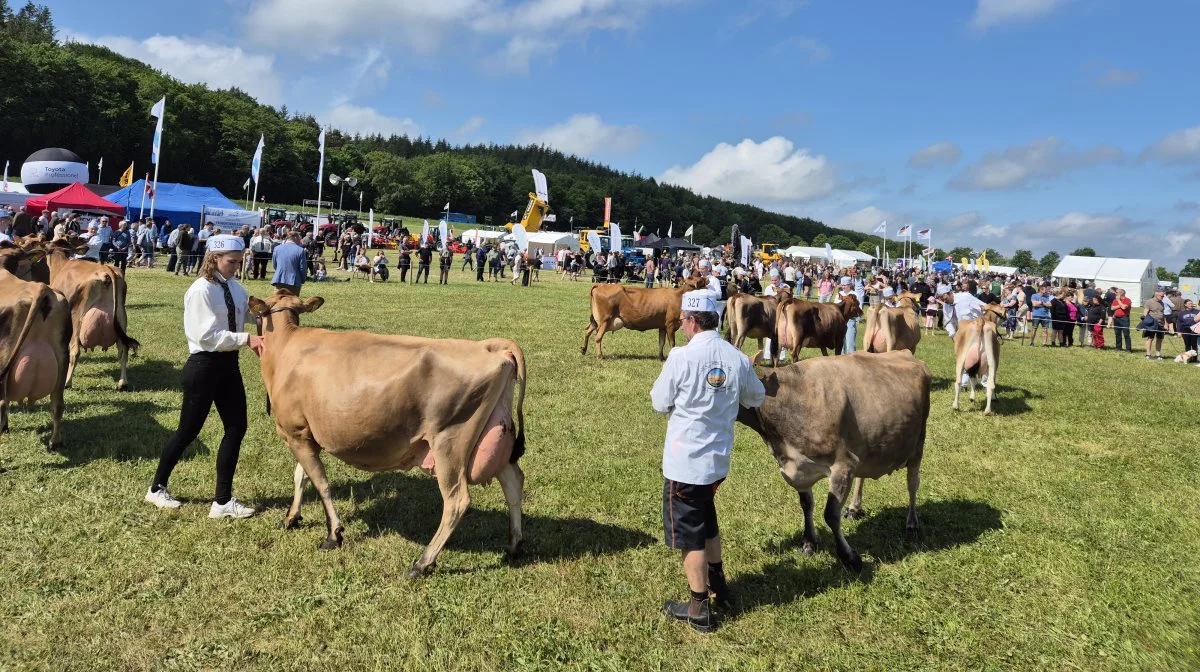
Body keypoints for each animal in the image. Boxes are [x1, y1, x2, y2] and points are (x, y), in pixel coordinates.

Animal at [42, 238, 139, 391]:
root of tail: (105, 270)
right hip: (121, 318)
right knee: (123, 349)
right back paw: (122, 383)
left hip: (77, 319)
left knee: (75, 351)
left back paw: (67, 382)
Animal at [250, 289, 528, 578]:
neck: (286, 346)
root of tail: (489, 346)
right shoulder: (306, 434)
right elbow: (301, 477)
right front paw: (291, 517)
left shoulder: (295, 433)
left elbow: (320, 483)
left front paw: (333, 534)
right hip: (496, 432)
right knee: (513, 482)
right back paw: (514, 546)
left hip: (450, 442)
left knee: (457, 500)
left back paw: (422, 563)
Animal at [739, 352, 926, 571]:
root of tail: (905, 353)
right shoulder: (799, 470)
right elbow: (806, 505)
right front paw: (809, 543)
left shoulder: (844, 465)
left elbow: (831, 514)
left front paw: (849, 558)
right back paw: (854, 508)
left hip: (918, 443)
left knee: (912, 483)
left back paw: (912, 523)